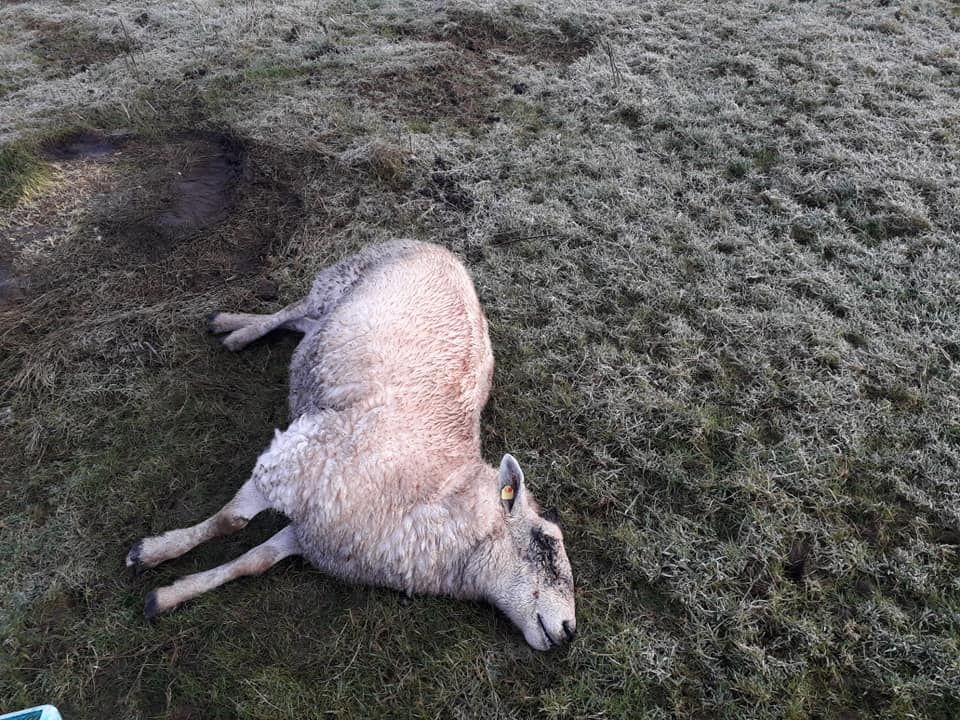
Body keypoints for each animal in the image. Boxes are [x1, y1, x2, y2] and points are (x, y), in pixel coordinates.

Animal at [126, 240, 577, 650]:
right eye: (545, 542)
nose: (570, 631)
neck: (431, 491)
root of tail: (440, 249)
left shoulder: (317, 531)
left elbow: (253, 562)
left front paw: (167, 596)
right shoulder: (293, 460)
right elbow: (229, 521)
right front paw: (152, 552)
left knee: (302, 325)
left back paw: (234, 327)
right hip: (337, 282)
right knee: (293, 310)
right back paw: (234, 329)